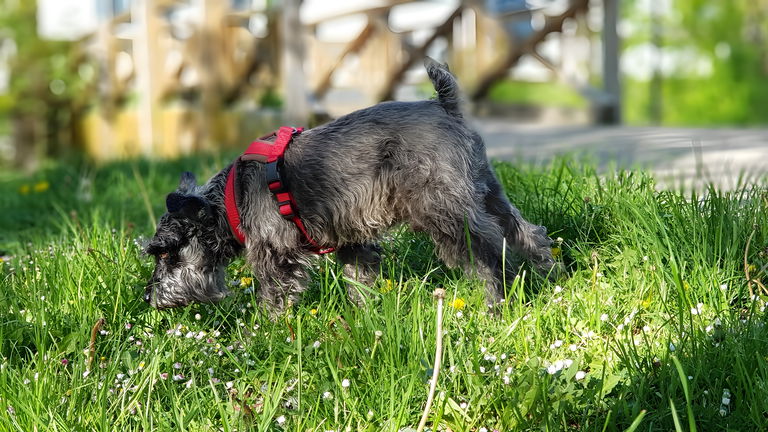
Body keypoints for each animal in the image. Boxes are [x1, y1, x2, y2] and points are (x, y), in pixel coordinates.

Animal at [141, 58, 556, 314]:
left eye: (164, 253)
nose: (149, 296)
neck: (230, 200)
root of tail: (444, 106)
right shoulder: (352, 242)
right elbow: (361, 282)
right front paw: (365, 317)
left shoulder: (275, 254)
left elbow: (273, 297)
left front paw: (266, 334)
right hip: (487, 192)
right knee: (527, 233)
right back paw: (552, 276)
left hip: (444, 210)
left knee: (489, 250)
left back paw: (496, 304)